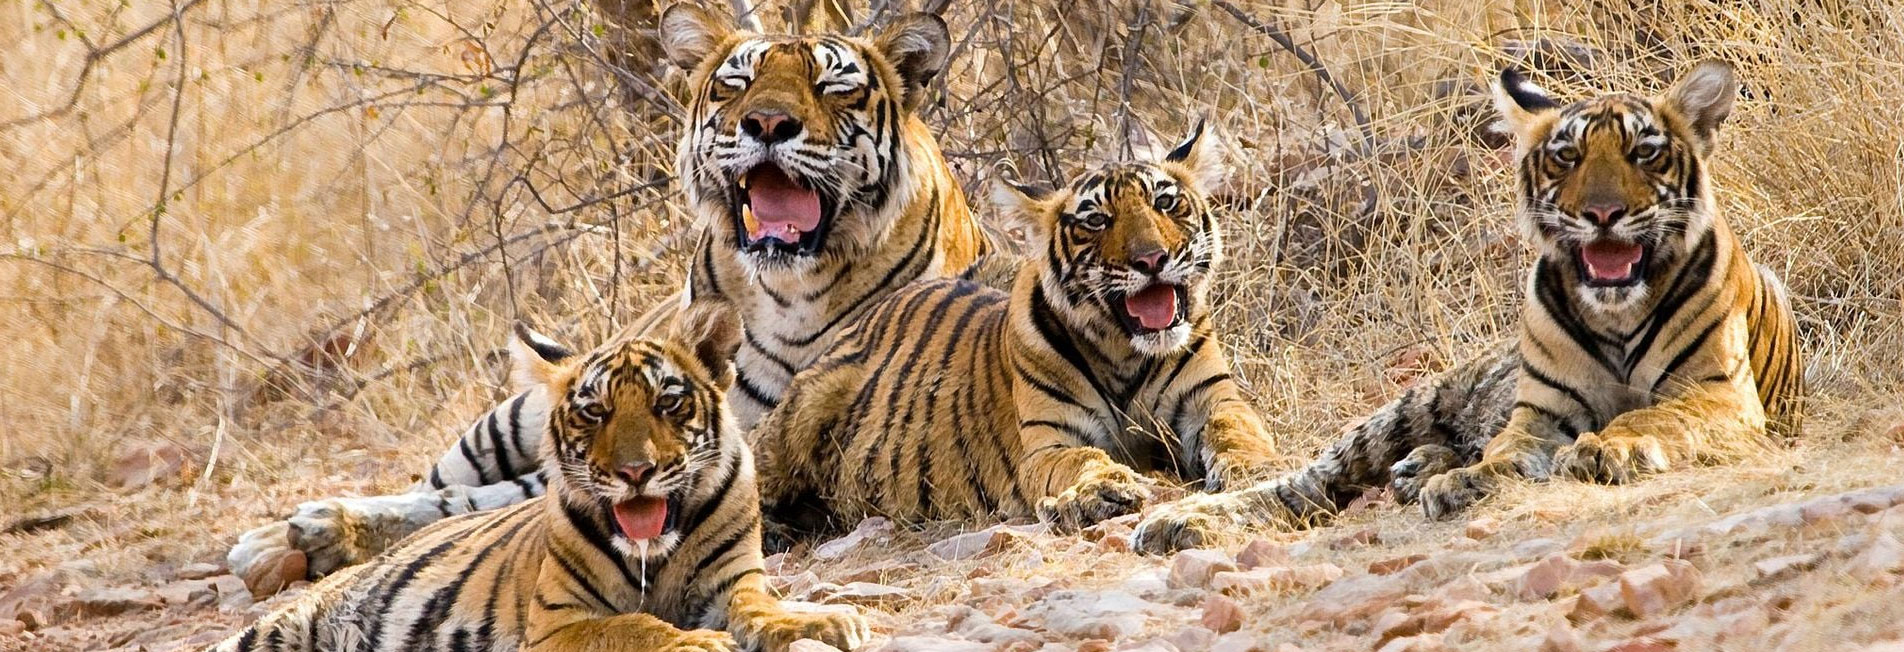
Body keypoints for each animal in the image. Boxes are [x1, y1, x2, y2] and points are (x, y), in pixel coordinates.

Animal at [208, 303, 869, 652]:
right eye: (595, 411)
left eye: (668, 403)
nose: (636, 472)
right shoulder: (557, 625)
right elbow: (632, 624)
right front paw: (696, 642)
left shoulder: (735, 583)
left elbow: (766, 608)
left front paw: (826, 620)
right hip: (278, 630)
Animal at [226, 5, 997, 582]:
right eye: (735, 86)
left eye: (834, 88)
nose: (769, 124)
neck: (795, 289)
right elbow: (471, 499)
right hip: (507, 419)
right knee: (434, 480)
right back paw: (278, 541)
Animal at [749, 122, 1283, 537]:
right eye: (1096, 219)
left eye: (1166, 203)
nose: (1152, 260)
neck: (1124, 350)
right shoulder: (1048, 443)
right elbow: (1079, 460)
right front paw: (1100, 490)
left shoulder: (1212, 400)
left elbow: (1238, 431)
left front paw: (1256, 467)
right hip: (798, 415)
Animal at [1132, 60, 1804, 554]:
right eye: (1567, 157)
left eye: (1644, 153)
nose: (1603, 213)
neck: (1615, 311)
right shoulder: (1538, 414)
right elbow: (1506, 452)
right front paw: (1466, 484)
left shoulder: (1717, 394)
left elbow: (1650, 417)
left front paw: (1603, 448)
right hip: (1407, 408)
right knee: (1304, 483)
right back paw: (1176, 522)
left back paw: (1418, 470)